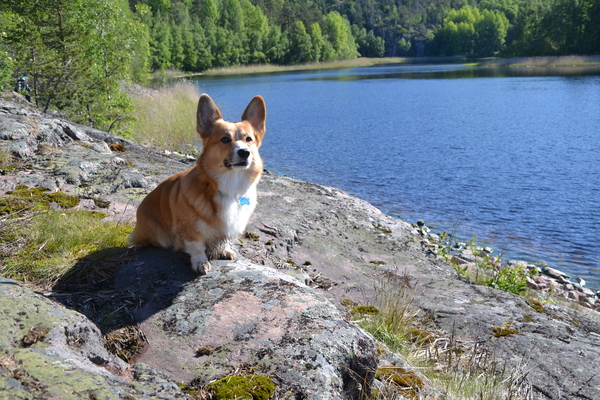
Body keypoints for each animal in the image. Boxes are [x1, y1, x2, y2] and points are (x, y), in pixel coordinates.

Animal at [129, 94, 266, 274]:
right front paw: (201, 262)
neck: (231, 185)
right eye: (225, 139)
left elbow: (223, 240)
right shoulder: (190, 229)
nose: (245, 152)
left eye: (248, 139)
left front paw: (224, 250)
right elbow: (197, 246)